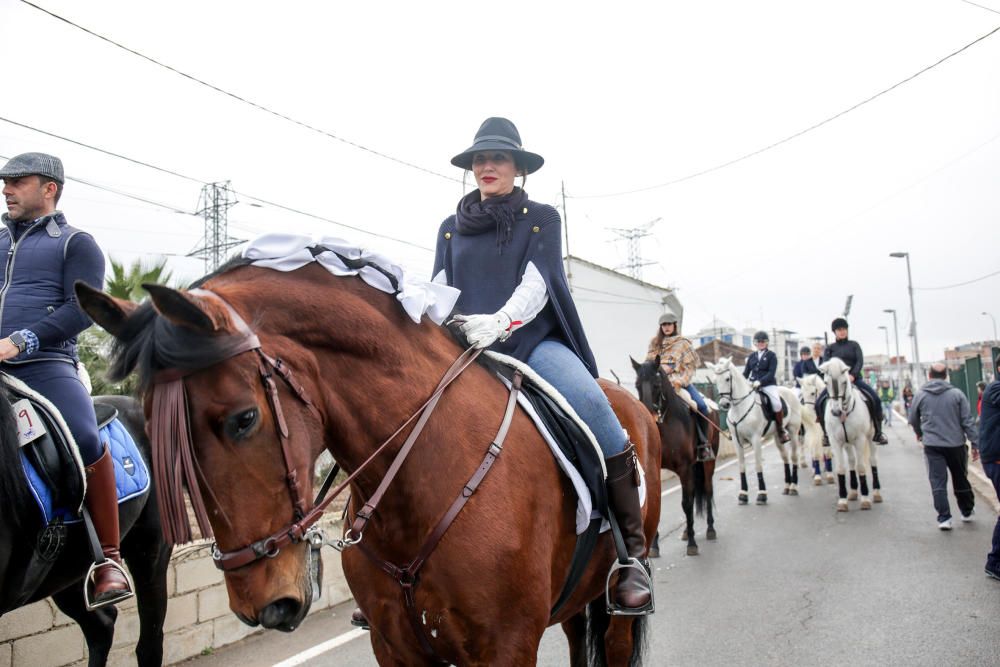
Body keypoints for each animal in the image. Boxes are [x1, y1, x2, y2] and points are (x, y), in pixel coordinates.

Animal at [78, 260, 664, 667]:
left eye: (243, 419)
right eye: (156, 436)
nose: (263, 605)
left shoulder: (506, 646)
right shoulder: (396, 646)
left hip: (615, 611)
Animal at [632, 360, 720, 560]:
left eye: (657, 385)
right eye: (637, 385)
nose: (646, 415)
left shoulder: (684, 468)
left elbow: (686, 504)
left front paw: (692, 545)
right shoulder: (657, 469)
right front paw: (654, 546)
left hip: (708, 462)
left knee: (708, 490)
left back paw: (710, 529)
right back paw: (687, 531)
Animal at [704, 358, 804, 504]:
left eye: (728, 379)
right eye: (715, 380)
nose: (724, 404)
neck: (740, 408)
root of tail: (789, 390)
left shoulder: (756, 439)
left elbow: (758, 465)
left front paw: (762, 494)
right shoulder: (737, 440)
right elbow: (741, 465)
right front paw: (743, 494)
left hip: (793, 431)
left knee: (794, 456)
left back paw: (794, 487)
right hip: (777, 435)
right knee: (785, 457)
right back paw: (787, 486)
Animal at [820, 360, 884, 512]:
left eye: (844, 382)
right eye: (825, 382)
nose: (836, 411)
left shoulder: (860, 440)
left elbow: (861, 467)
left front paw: (865, 499)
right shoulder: (835, 441)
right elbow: (841, 468)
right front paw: (842, 501)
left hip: (871, 438)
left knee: (872, 461)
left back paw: (876, 493)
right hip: (848, 442)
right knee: (851, 461)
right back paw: (853, 492)